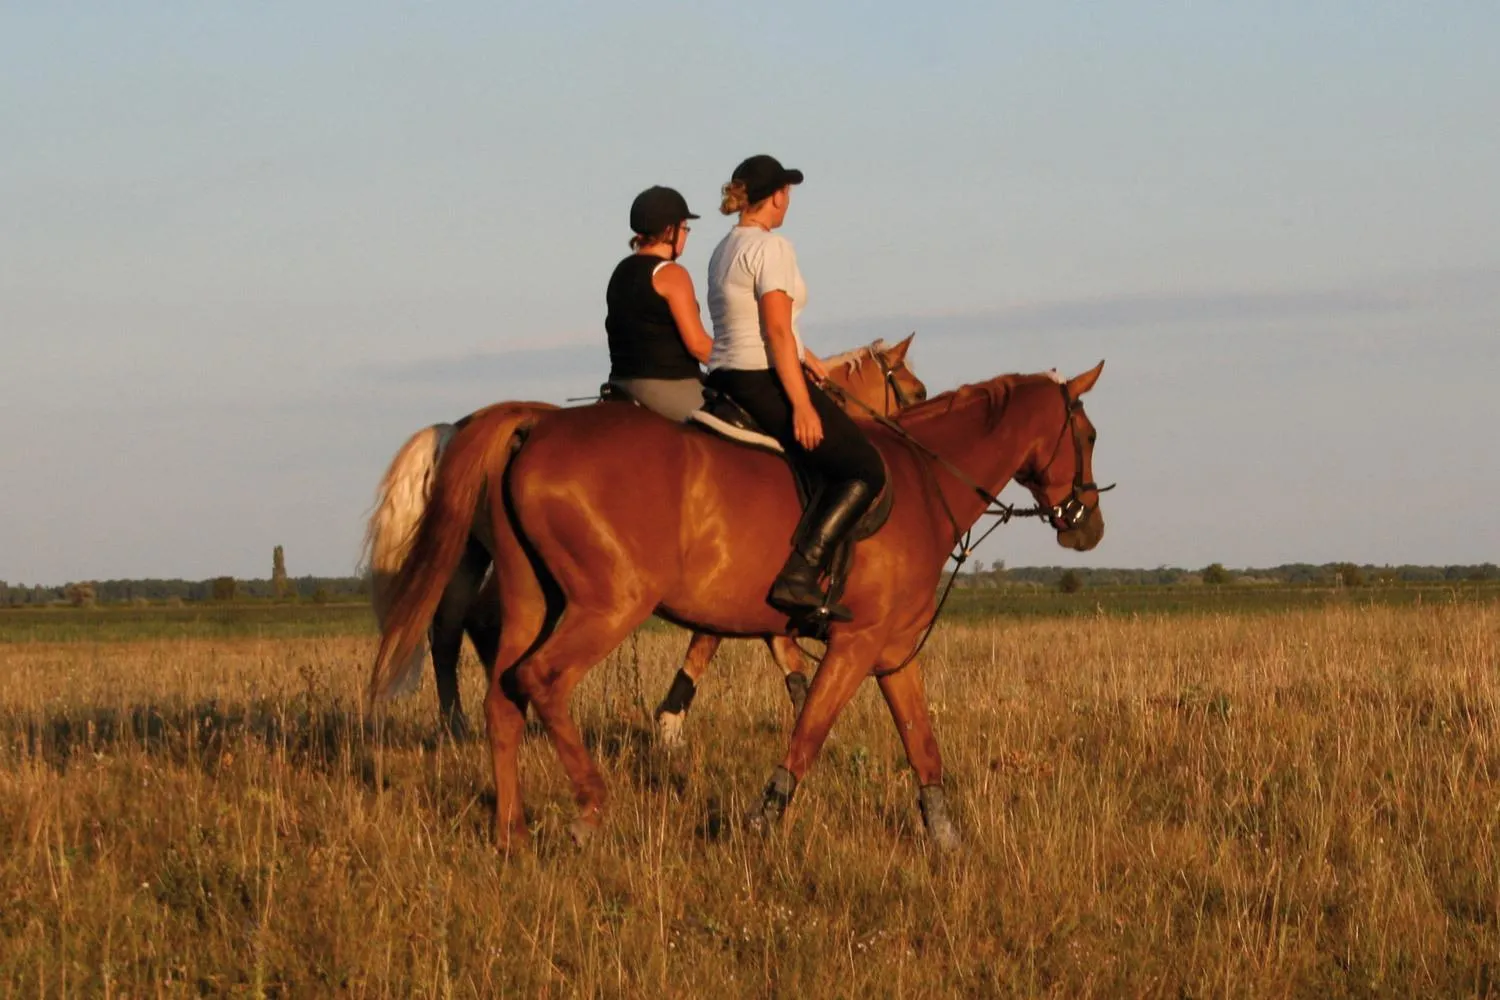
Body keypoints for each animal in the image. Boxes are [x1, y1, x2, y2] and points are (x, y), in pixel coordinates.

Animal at [361, 335, 926, 741]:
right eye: (916, 391)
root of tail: (460, 428)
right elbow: (713, 638)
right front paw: (672, 719)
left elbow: (768, 641)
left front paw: (801, 700)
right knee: (473, 624)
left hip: (476, 555)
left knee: (454, 627)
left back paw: (464, 721)